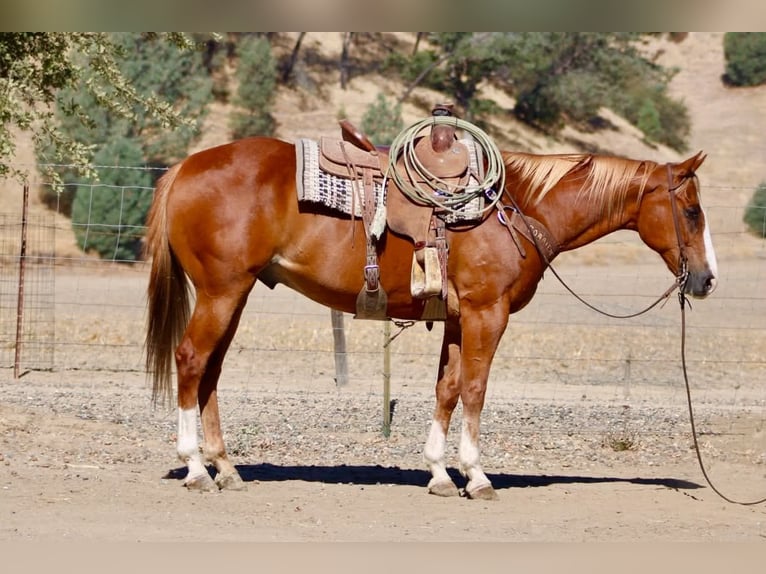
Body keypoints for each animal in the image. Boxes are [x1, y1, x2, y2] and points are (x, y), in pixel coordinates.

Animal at [144, 136, 718, 500]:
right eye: (692, 212)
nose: (707, 279)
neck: (515, 209)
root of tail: (185, 167)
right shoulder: (489, 313)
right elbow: (476, 390)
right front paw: (477, 476)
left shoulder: (461, 320)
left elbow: (448, 388)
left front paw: (440, 473)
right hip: (221, 291)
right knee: (191, 360)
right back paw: (195, 467)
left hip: (234, 294)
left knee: (211, 372)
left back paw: (225, 467)